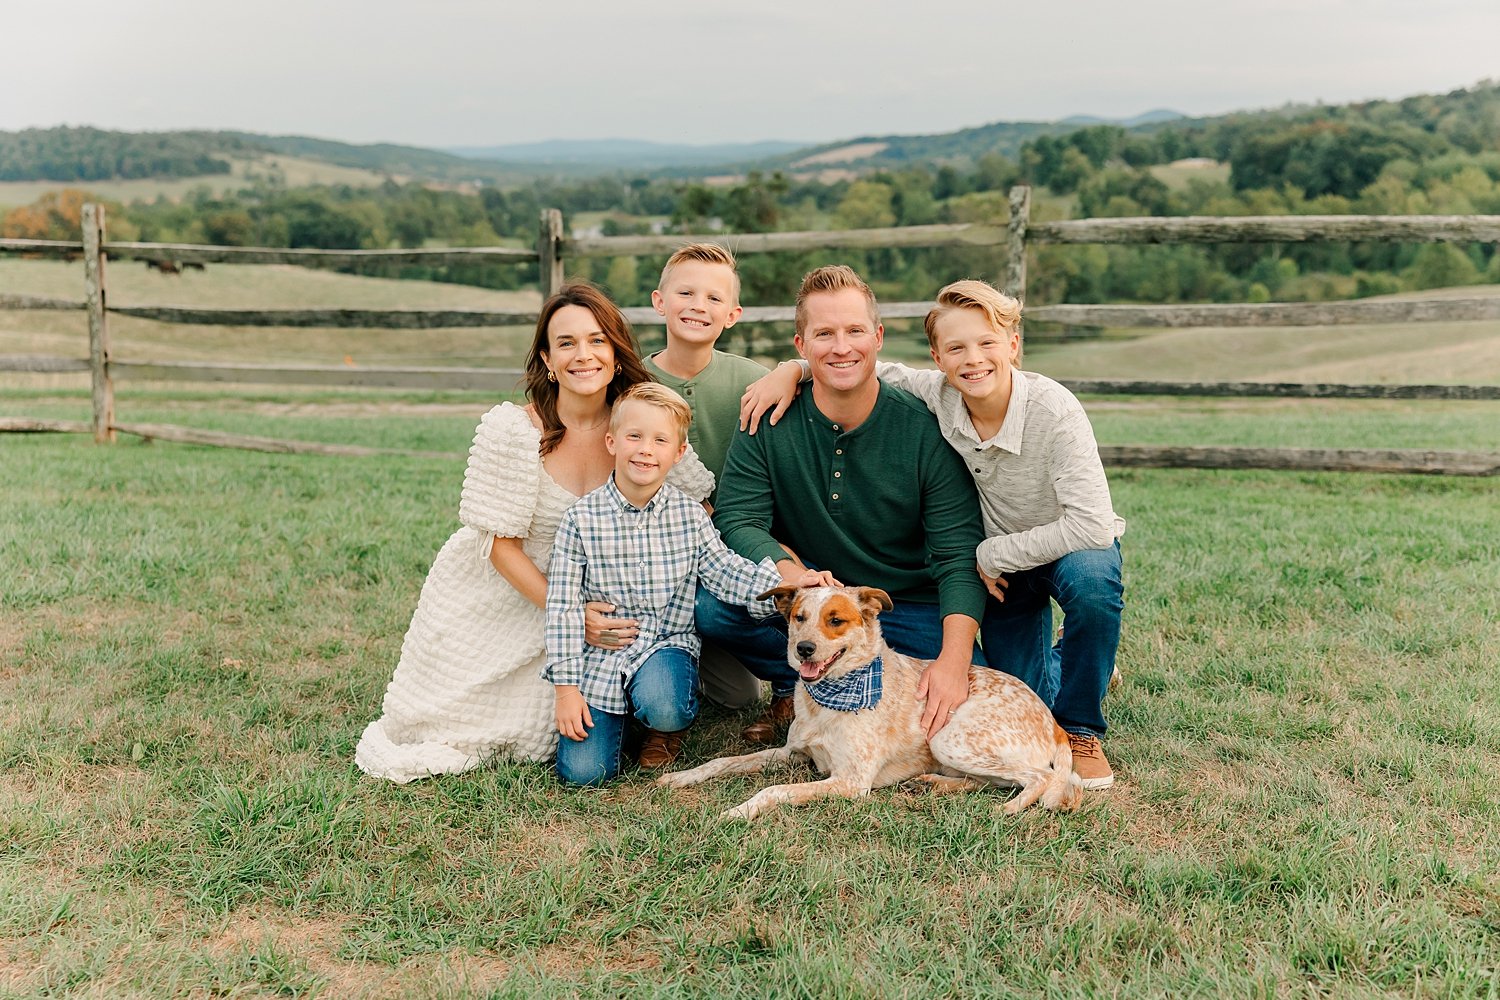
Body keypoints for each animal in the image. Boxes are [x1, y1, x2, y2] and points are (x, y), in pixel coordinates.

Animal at [657, 587, 1080, 821]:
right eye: (799, 617)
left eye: (836, 621)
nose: (803, 648)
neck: (830, 698)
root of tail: (1053, 722)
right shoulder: (793, 753)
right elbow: (723, 761)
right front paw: (681, 777)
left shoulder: (851, 781)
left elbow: (775, 791)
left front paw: (739, 810)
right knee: (988, 780)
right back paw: (934, 783)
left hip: (949, 737)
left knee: (1041, 780)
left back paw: (1008, 809)